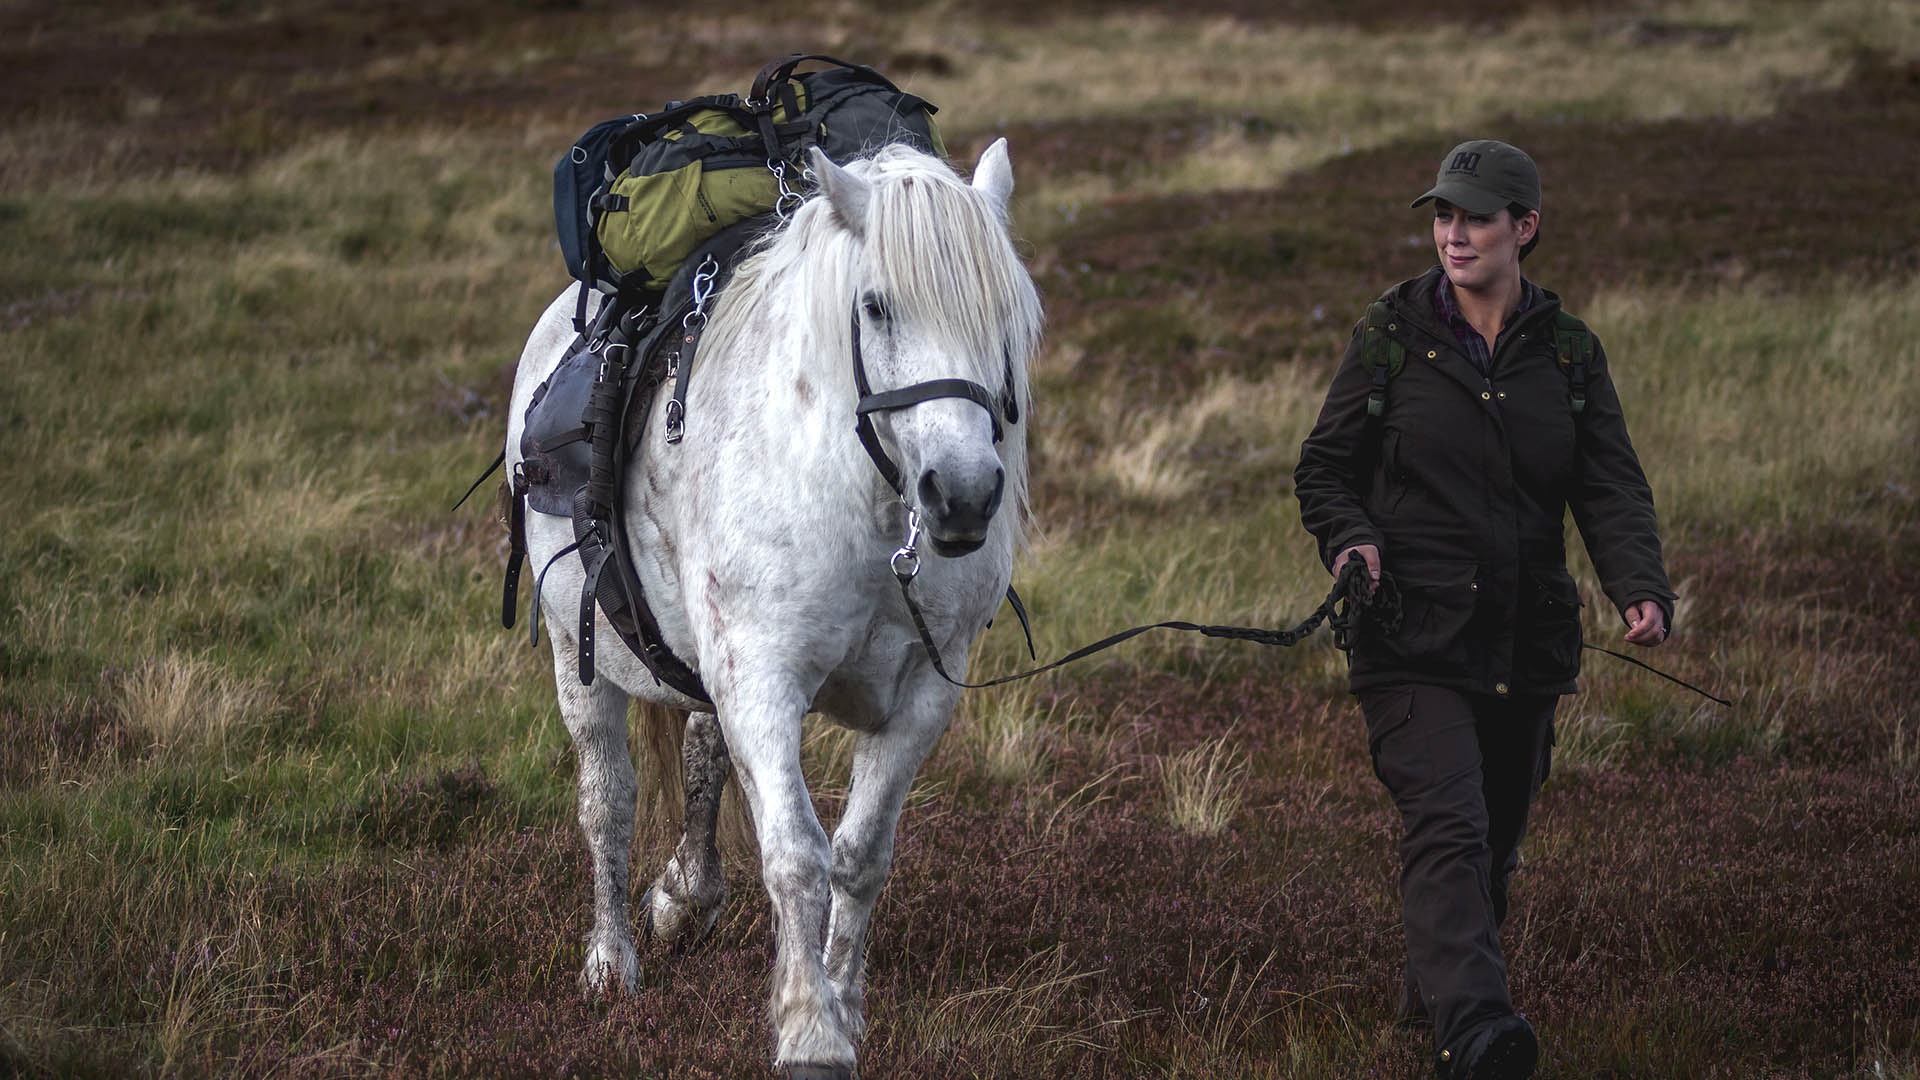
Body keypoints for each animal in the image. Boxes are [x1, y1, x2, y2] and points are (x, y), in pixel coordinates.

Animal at [495, 138, 1036, 1068]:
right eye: (876, 306)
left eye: (1002, 311)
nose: (963, 496)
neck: (863, 506)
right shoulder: (765, 680)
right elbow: (795, 857)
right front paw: (810, 1032)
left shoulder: (922, 696)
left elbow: (859, 856)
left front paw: (845, 1006)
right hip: (578, 653)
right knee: (608, 802)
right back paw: (610, 960)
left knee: (704, 752)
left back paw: (686, 895)